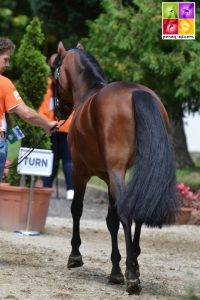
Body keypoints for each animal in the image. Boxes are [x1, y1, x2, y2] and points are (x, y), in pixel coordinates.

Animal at [54, 41, 180, 292]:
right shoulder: (108, 176)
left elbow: (77, 209)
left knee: (127, 213)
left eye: (55, 72)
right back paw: (135, 267)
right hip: (138, 172)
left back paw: (132, 274)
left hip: (114, 171)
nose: (59, 111)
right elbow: (111, 221)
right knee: (139, 207)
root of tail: (137, 93)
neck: (89, 92)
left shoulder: (80, 170)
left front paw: (75, 256)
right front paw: (115, 270)